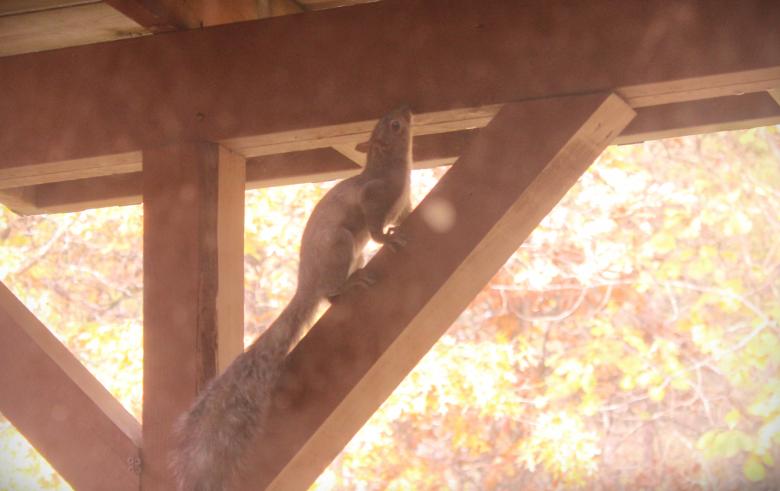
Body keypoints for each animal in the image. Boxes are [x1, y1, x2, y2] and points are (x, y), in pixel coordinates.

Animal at [170, 105, 414, 491]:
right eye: (393, 125)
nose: (406, 110)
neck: (391, 167)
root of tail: (306, 284)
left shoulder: (403, 203)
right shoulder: (374, 197)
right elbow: (375, 225)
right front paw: (387, 238)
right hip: (341, 244)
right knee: (331, 288)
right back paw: (349, 283)